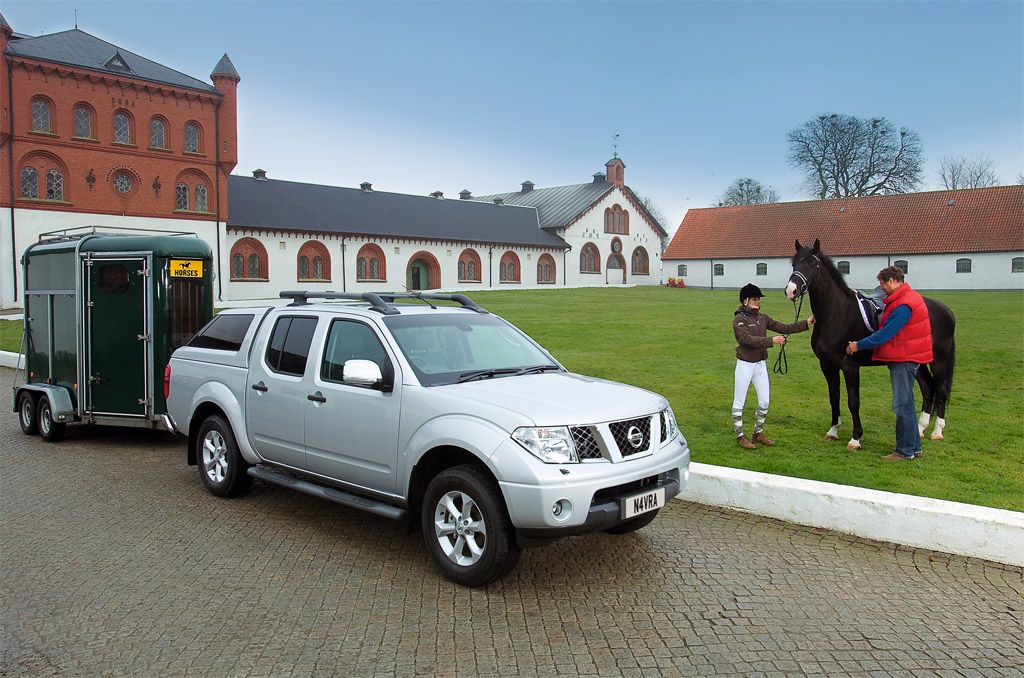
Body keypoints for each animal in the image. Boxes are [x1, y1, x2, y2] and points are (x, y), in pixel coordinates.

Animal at [786, 241, 954, 448]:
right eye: (794, 264)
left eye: (811, 264)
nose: (791, 290)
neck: (837, 313)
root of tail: (945, 310)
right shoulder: (827, 365)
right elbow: (834, 397)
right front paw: (833, 431)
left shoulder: (850, 366)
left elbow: (853, 401)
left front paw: (855, 438)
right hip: (918, 361)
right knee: (928, 387)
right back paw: (920, 429)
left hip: (939, 361)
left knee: (941, 389)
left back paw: (937, 432)